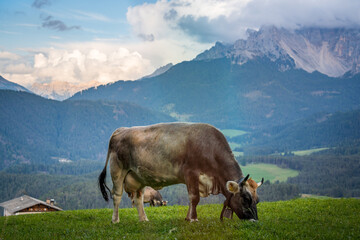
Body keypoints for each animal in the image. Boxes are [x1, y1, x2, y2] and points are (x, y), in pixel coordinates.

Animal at [99, 123, 264, 222]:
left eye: (257, 200)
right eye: (245, 198)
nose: (254, 221)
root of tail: (120, 130)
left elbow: (191, 200)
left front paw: (188, 218)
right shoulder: (191, 173)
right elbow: (194, 198)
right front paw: (193, 219)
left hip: (139, 177)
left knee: (139, 199)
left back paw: (143, 219)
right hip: (117, 171)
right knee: (117, 196)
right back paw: (115, 220)